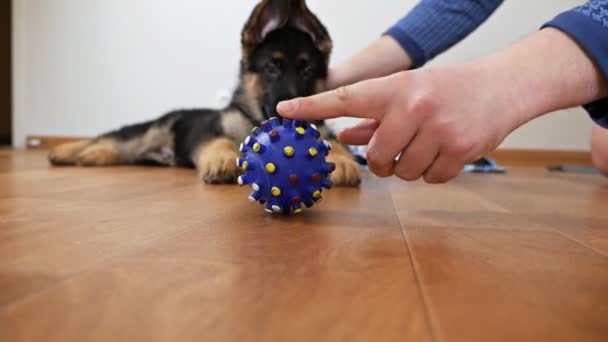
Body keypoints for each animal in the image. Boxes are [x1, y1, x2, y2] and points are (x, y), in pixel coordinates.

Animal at [50, 0, 360, 187]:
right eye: (272, 67)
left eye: (308, 71)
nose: (290, 113)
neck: (254, 119)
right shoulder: (209, 132)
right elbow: (220, 141)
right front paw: (223, 159)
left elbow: (335, 143)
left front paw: (344, 160)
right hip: (144, 134)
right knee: (108, 139)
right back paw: (66, 150)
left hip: (144, 152)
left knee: (112, 150)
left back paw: (88, 155)